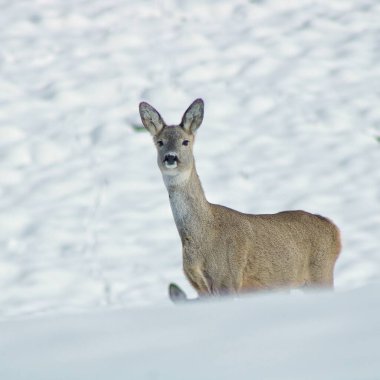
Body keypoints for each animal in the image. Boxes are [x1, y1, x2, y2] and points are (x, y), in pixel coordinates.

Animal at [140, 99, 342, 302]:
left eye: (185, 141)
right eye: (160, 142)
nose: (170, 157)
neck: (203, 235)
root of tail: (334, 229)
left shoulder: (227, 279)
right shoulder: (201, 288)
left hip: (321, 272)